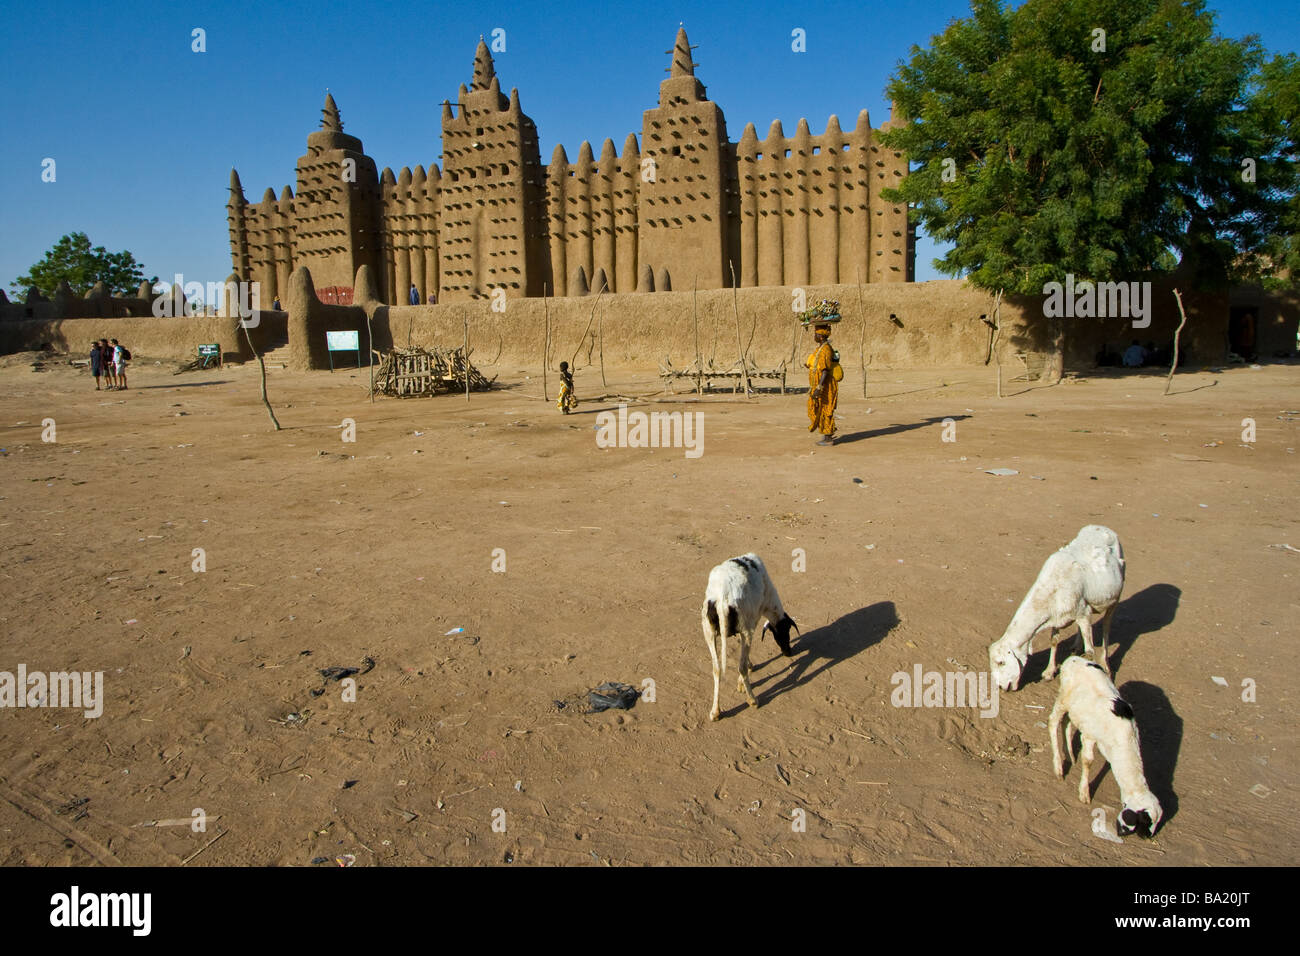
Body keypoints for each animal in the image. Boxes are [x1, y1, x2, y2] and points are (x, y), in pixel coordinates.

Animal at [702, 556, 790, 723]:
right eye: (785, 631)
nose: (789, 652)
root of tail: (722, 597)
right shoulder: (752, 623)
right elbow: (744, 659)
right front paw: (743, 680)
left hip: (708, 630)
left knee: (716, 669)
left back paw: (715, 712)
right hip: (745, 628)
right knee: (740, 667)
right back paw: (752, 700)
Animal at [987, 522, 1123, 697]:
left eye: (1001, 662)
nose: (1001, 687)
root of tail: (1102, 527)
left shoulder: (1084, 614)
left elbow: (1090, 651)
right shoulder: (1057, 616)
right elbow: (1054, 641)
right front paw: (1049, 672)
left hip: (1114, 599)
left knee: (1106, 628)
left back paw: (1105, 664)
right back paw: (1076, 646)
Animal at [1050, 658, 1164, 837]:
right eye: (1145, 821)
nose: (1148, 836)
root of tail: (1073, 659)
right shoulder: (1089, 736)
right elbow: (1088, 761)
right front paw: (1084, 793)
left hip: (1075, 710)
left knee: (1067, 723)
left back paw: (1070, 756)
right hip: (1063, 698)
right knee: (1053, 722)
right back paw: (1059, 768)